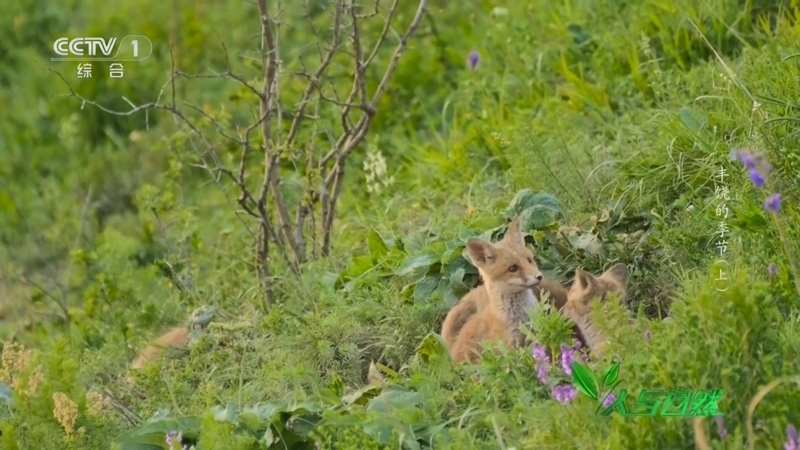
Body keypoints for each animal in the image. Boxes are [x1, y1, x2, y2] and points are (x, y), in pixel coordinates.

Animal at [446, 216, 552, 364]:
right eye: (513, 268)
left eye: (529, 260)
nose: (539, 276)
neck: (521, 316)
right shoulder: (510, 350)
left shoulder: (537, 332)